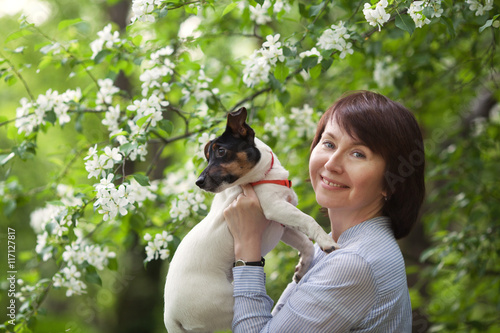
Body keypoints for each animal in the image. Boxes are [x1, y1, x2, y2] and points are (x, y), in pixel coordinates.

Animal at [163, 107, 336, 330]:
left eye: (220, 151)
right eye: (208, 157)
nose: (198, 182)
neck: (263, 177)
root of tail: (170, 315)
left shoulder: (281, 225)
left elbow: (305, 244)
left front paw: (302, 268)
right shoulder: (275, 208)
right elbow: (308, 220)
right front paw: (326, 241)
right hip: (228, 304)